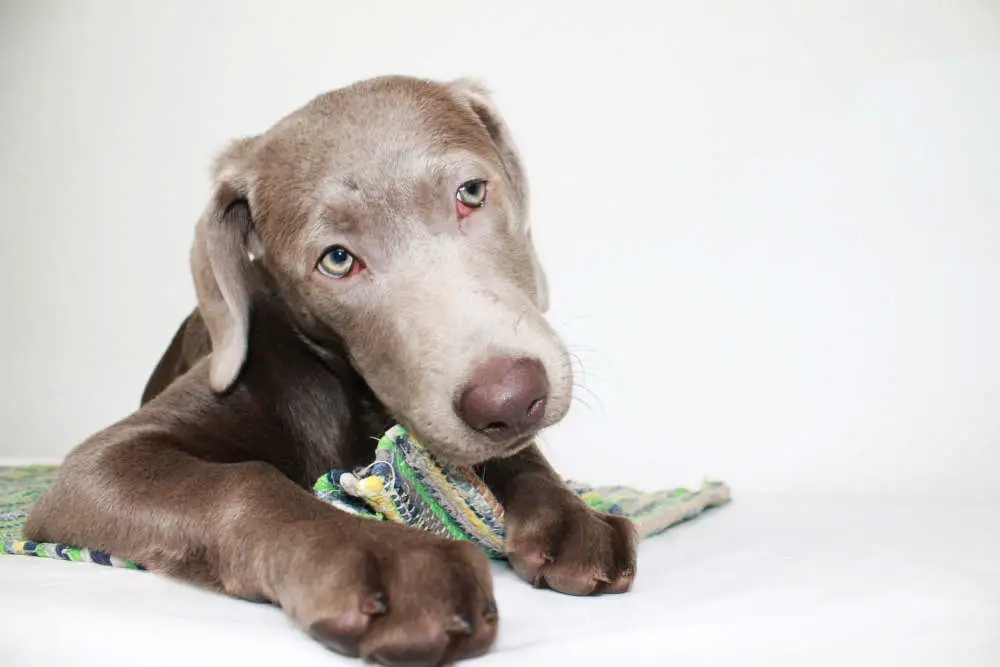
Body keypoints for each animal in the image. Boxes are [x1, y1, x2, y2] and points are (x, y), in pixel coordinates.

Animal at [25, 75, 640, 664]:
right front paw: (389, 561)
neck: (353, 393)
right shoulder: (97, 466)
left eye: (471, 193)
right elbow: (243, 481)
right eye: (338, 260)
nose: (511, 401)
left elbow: (517, 458)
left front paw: (572, 517)